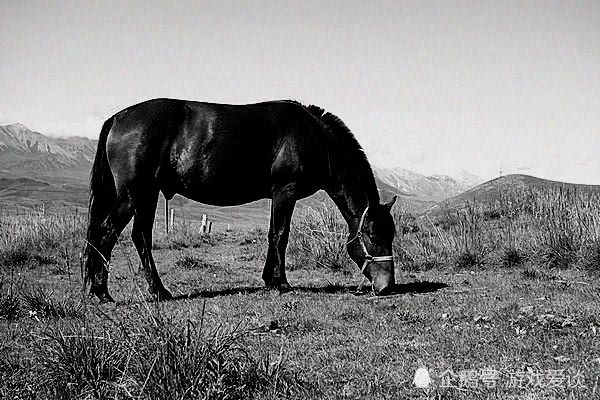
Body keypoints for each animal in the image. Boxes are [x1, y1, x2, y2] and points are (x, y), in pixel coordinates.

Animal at [82, 98, 396, 302]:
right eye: (373, 236)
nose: (387, 287)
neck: (314, 138)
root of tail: (118, 118)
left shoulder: (278, 194)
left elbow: (273, 234)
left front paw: (270, 279)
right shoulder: (285, 191)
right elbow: (280, 235)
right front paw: (281, 283)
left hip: (145, 195)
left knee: (133, 236)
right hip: (136, 194)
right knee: (109, 233)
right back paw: (109, 292)